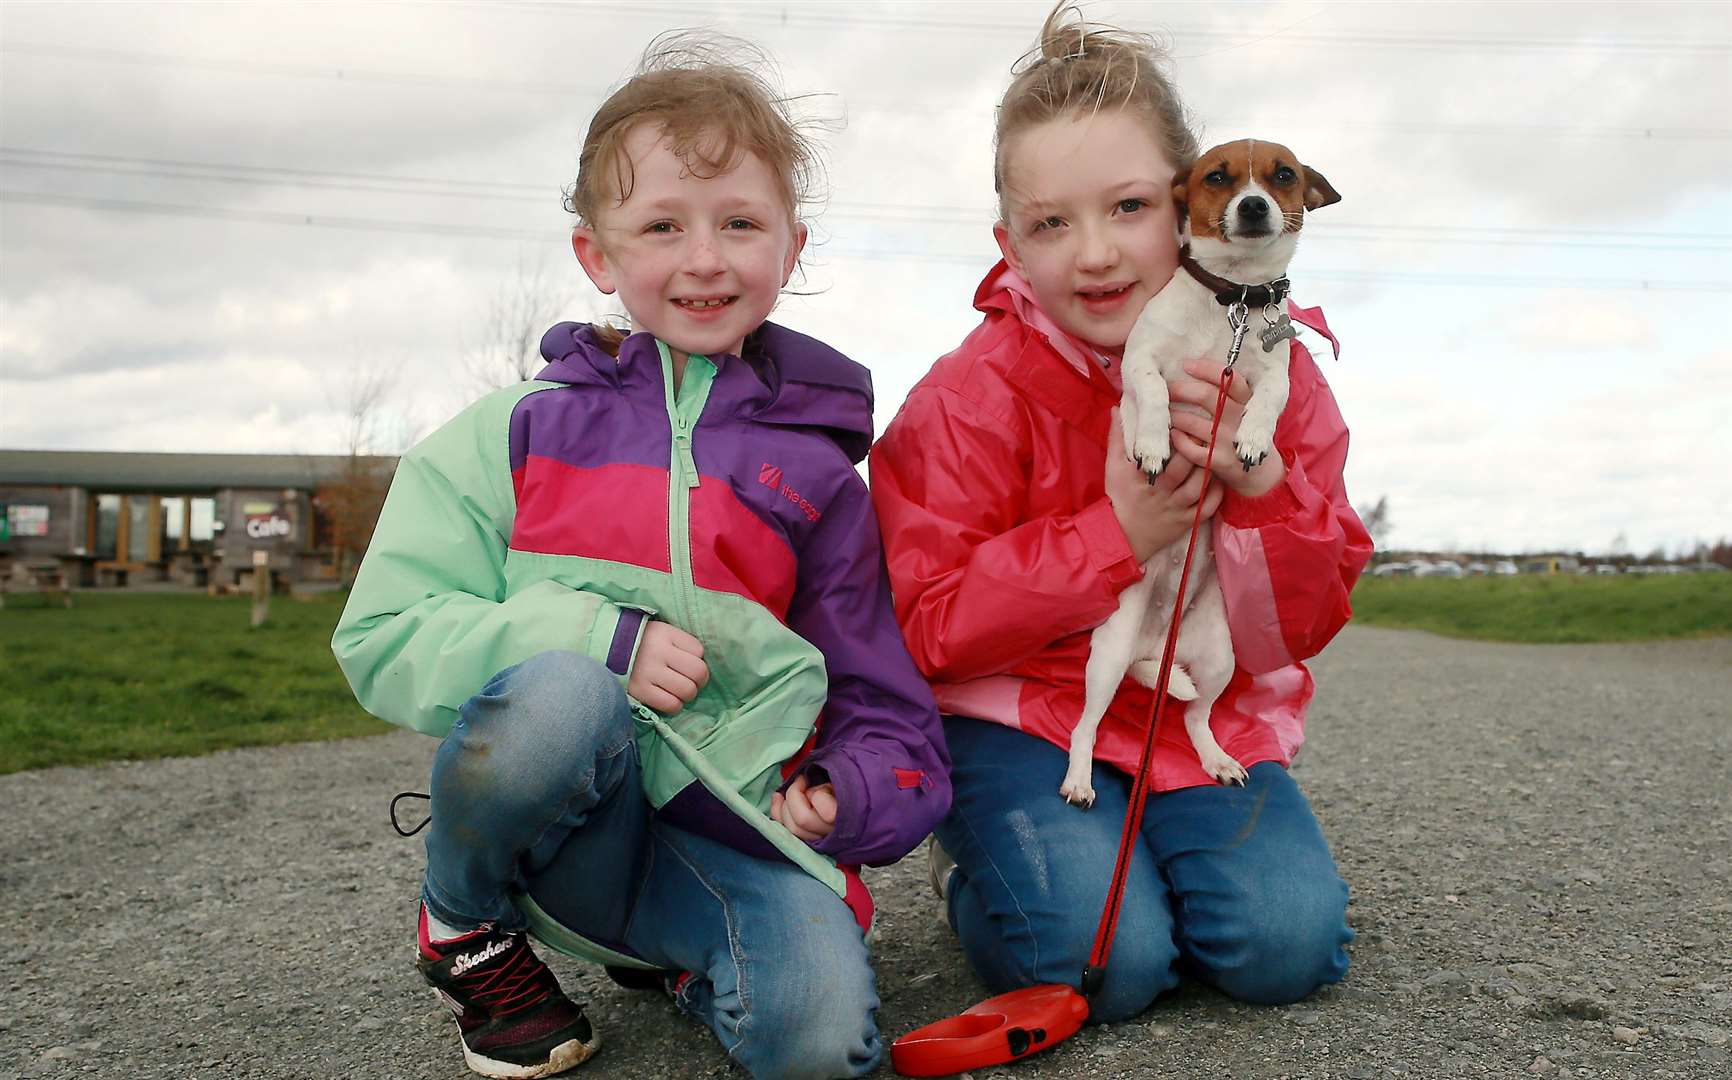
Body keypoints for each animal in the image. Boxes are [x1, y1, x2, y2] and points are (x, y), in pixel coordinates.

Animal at [1053, 139, 1337, 806]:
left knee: (1194, 715)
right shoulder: (1143, 360)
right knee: (1085, 725)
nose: (1254, 206)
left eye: (1283, 176)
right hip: (1107, 658)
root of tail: (1158, 642)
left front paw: (1254, 439)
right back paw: (1079, 778)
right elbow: (1154, 391)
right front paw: (1154, 444)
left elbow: (1271, 397)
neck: (1232, 303)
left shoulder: (1272, 372)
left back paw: (1216, 758)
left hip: (1216, 659)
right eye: (1218, 178)